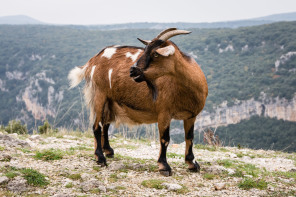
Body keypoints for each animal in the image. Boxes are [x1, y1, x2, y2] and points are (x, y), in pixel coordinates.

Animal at [68, 27, 208, 175]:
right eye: (144, 50)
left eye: (155, 54)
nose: (132, 70)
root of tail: (94, 59)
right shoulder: (164, 113)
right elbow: (165, 139)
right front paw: (164, 166)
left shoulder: (191, 115)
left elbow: (189, 137)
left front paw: (192, 164)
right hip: (100, 94)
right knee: (97, 126)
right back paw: (100, 158)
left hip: (110, 100)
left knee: (105, 124)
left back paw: (108, 151)